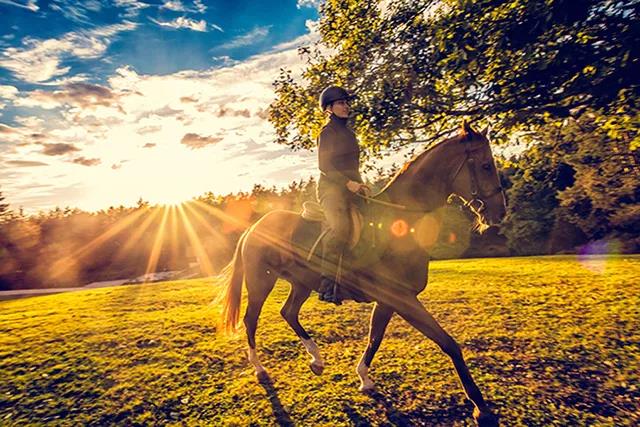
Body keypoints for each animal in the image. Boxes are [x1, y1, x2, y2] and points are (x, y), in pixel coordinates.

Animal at [218, 122, 508, 426]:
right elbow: (449, 344)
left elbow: (374, 338)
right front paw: (481, 408)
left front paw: (364, 379)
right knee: (251, 321)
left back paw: (316, 360)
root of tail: (253, 228)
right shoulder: (403, 299)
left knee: (288, 312)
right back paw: (260, 368)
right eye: (486, 165)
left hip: (301, 284)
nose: (500, 213)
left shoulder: (389, 301)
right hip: (261, 283)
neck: (400, 223)